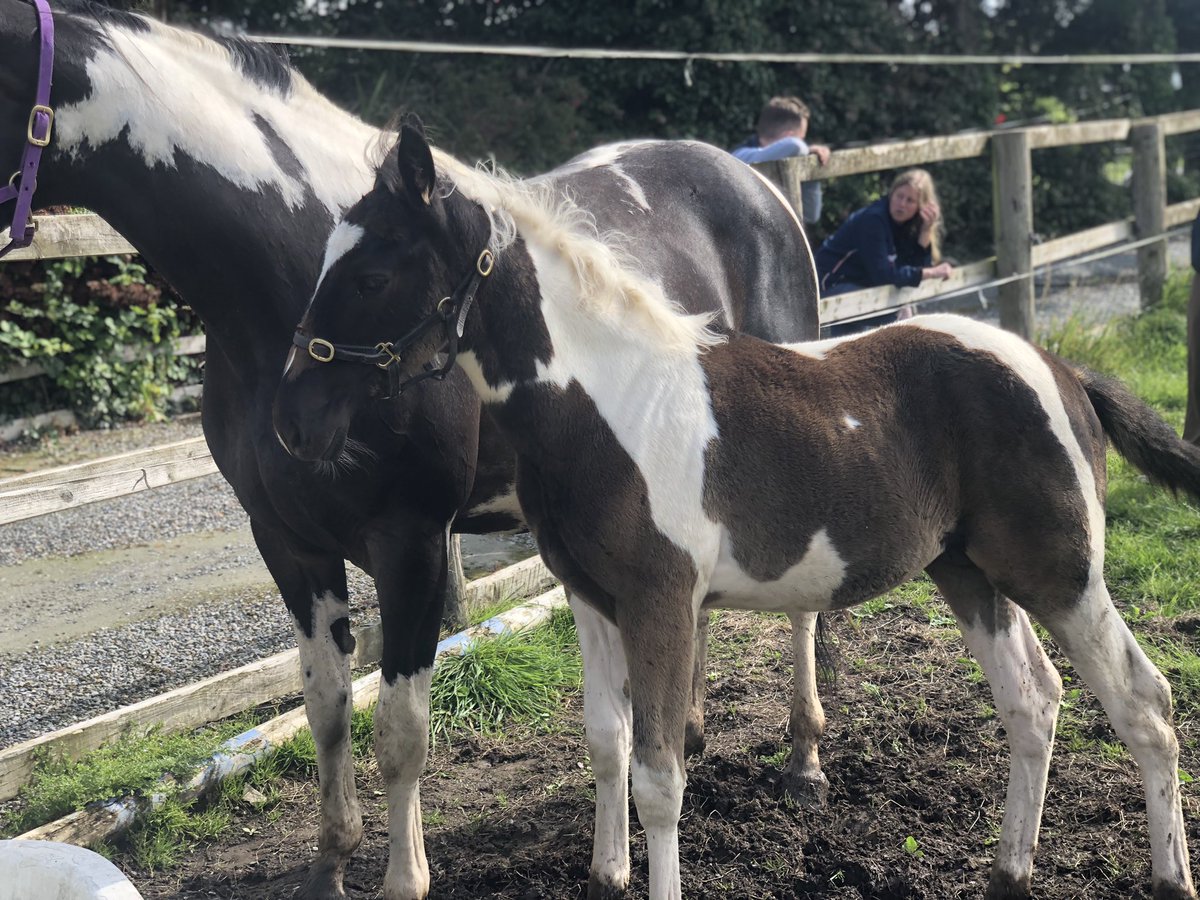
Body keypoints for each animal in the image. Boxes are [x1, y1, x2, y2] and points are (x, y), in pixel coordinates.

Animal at [0, 5, 822, 898]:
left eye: (371, 279)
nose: (299, 418)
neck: (273, 292)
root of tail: (754, 184)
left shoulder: (414, 542)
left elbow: (400, 728)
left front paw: (404, 877)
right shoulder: (286, 540)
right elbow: (326, 708)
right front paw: (330, 862)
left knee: (803, 607)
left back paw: (805, 754)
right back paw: (698, 731)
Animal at [274, 120, 1200, 900]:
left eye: (372, 275)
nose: (291, 421)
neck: (608, 400)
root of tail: (1065, 372)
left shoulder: (660, 599)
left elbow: (658, 777)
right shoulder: (589, 597)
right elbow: (606, 744)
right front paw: (607, 876)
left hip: (1062, 573)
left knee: (1144, 704)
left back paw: (1168, 878)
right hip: (967, 571)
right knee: (1032, 702)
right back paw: (1010, 873)